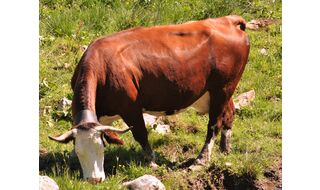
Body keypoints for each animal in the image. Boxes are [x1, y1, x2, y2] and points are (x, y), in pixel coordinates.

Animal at [49, 14, 250, 183]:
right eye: (80, 151)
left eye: (100, 147)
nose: (94, 180)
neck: (102, 67)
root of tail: (227, 20)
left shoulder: (130, 107)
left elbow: (141, 134)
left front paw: (151, 162)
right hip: (219, 92)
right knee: (229, 113)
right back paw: (225, 149)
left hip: (222, 88)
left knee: (214, 124)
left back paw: (200, 161)